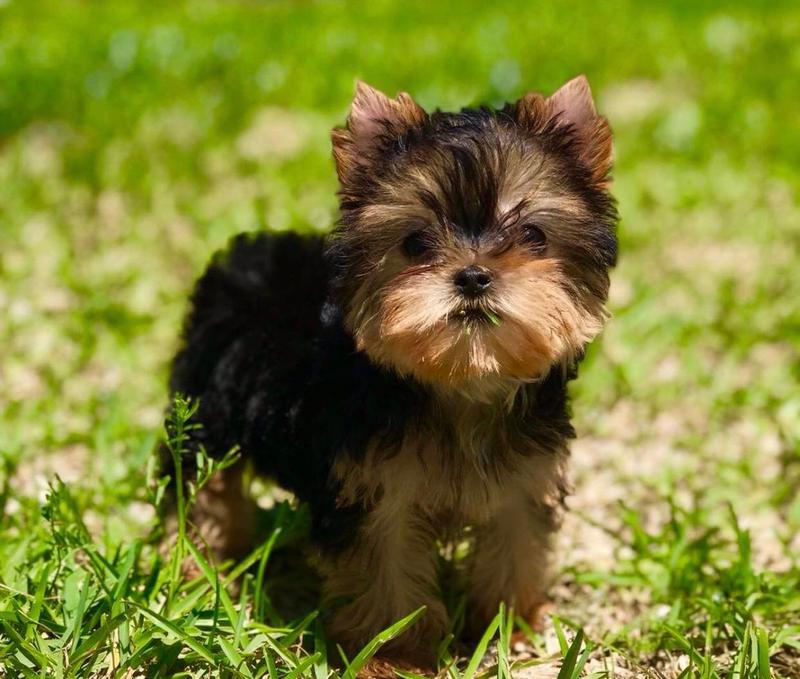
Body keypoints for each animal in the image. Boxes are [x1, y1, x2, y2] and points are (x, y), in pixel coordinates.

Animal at [162, 75, 620, 664]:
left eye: (534, 236)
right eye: (415, 242)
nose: (473, 275)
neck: (461, 384)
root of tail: (249, 253)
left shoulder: (524, 478)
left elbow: (516, 545)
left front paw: (508, 623)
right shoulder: (374, 493)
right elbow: (386, 573)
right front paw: (394, 654)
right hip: (206, 406)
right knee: (199, 482)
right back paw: (198, 562)